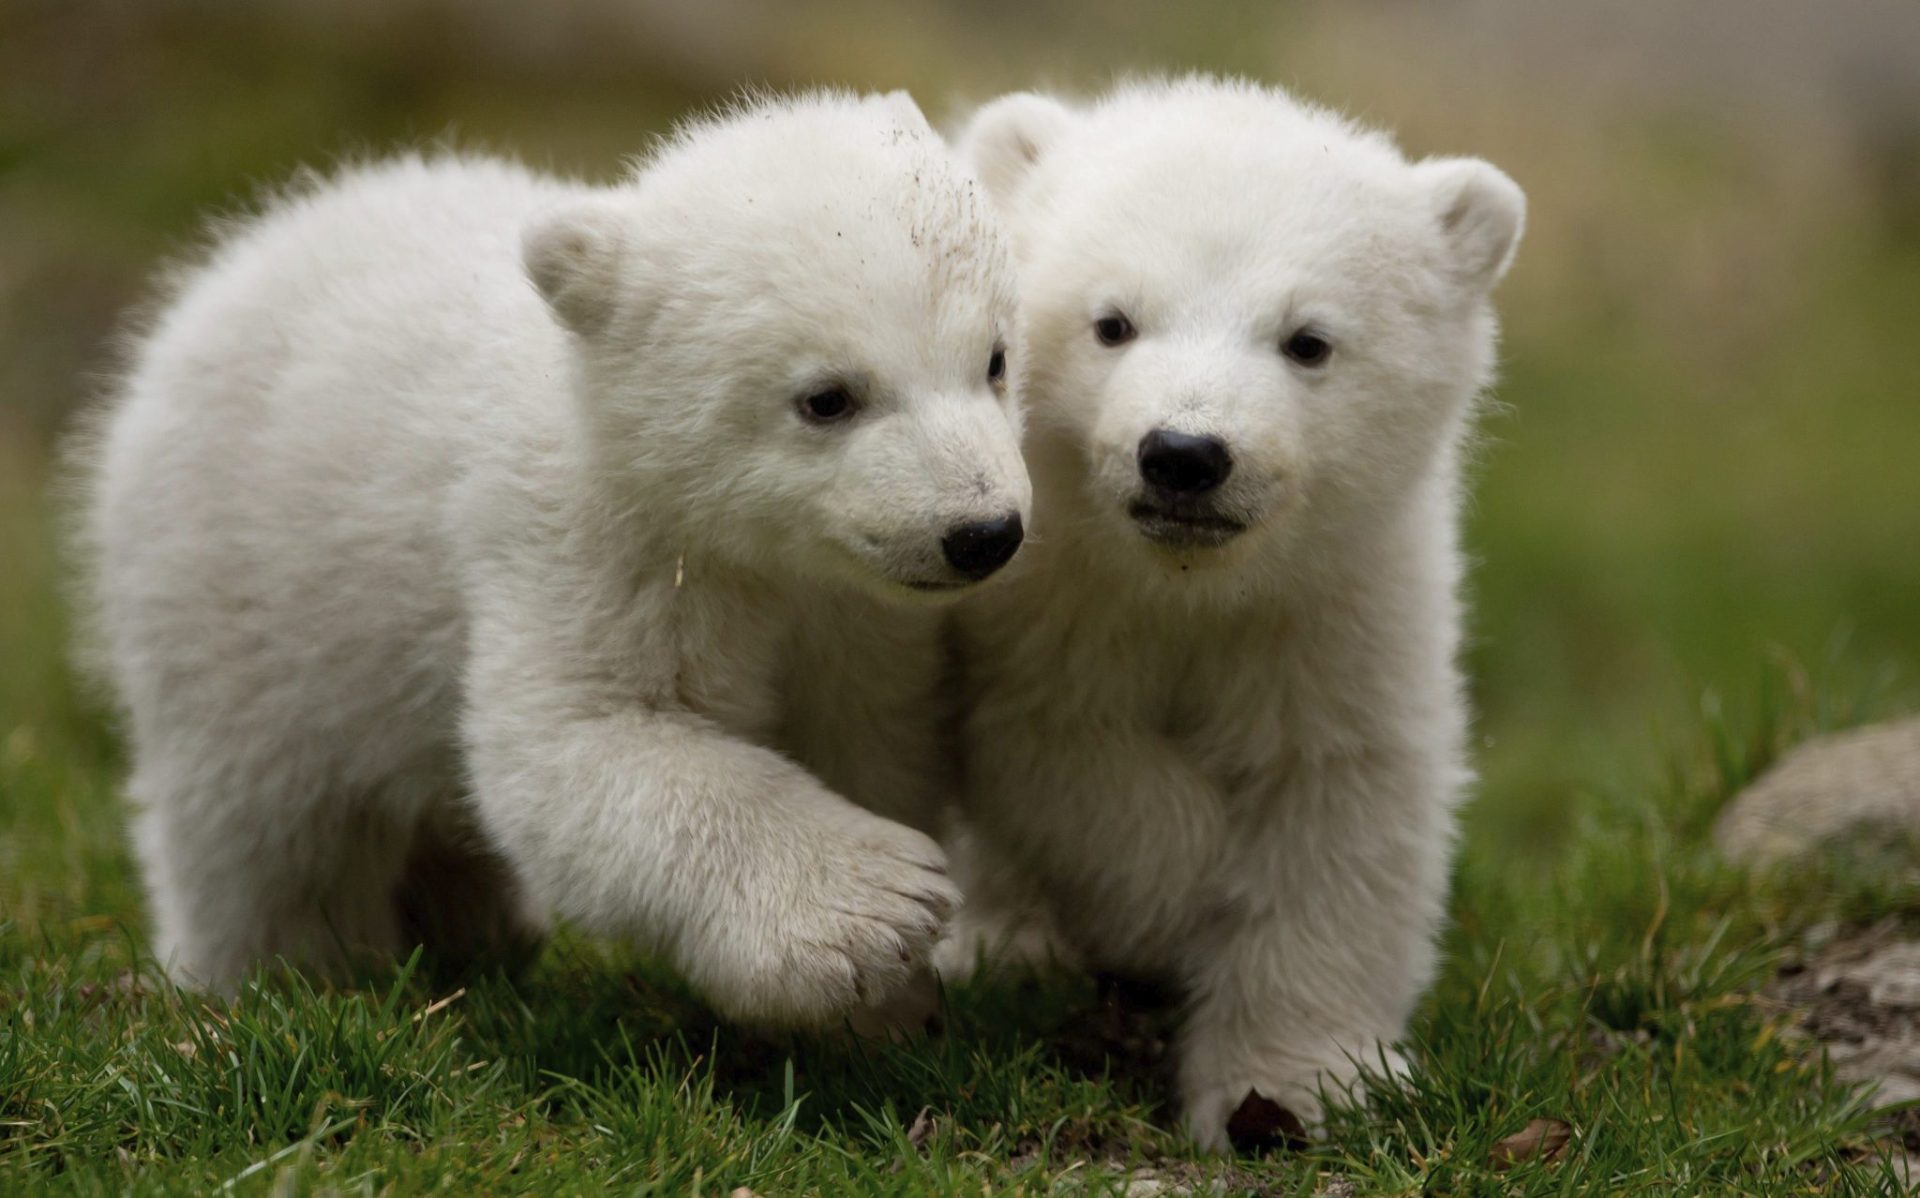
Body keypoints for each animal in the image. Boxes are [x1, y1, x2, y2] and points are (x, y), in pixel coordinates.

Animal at [76, 89, 1031, 1030]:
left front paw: (891, 1007)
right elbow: (576, 744)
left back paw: (473, 931)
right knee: (259, 824)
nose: (983, 530)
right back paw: (274, 977)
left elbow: (865, 733)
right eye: (827, 398)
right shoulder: (590, 547)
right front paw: (879, 907)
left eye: (994, 358)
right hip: (232, 581)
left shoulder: (853, 610)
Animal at [942, 76, 1524, 1148]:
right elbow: (1062, 747)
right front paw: (1182, 899)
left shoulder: (1339, 607)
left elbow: (1340, 808)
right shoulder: (1038, 605)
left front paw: (1298, 1087)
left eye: (1309, 341)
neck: (1188, 586)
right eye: (1112, 322)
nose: (1184, 453)